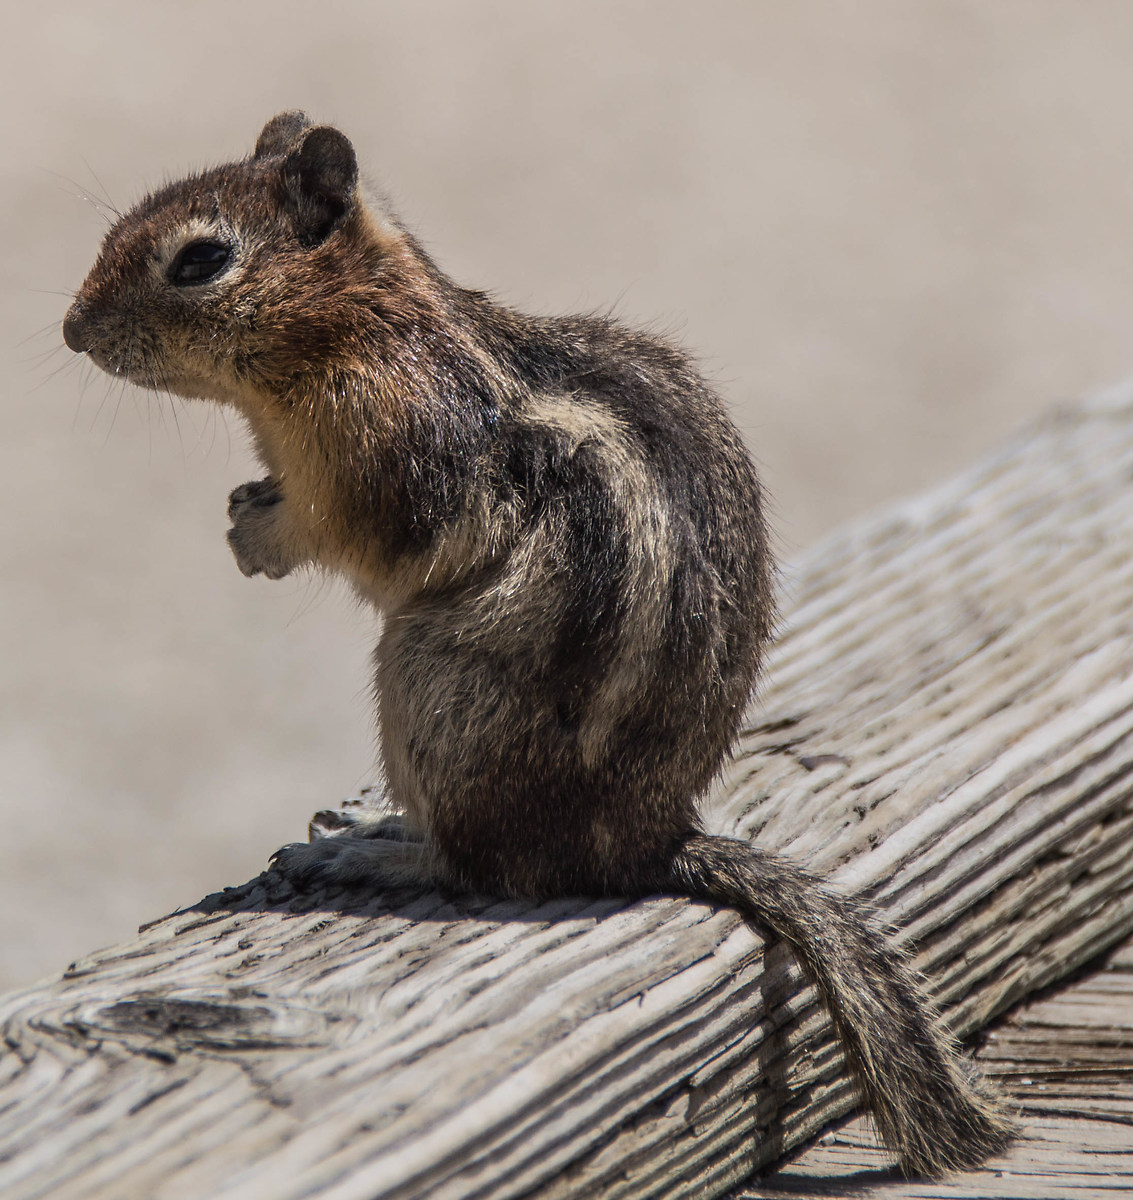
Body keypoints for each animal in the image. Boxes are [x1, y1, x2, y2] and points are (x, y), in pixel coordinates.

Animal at [63, 111, 1013, 1177]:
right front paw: (245, 506)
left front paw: (260, 538)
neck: (360, 330)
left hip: (429, 682)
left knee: (487, 870)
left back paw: (373, 858)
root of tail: (645, 842)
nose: (72, 330)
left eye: (199, 260)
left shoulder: (388, 457)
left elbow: (351, 537)